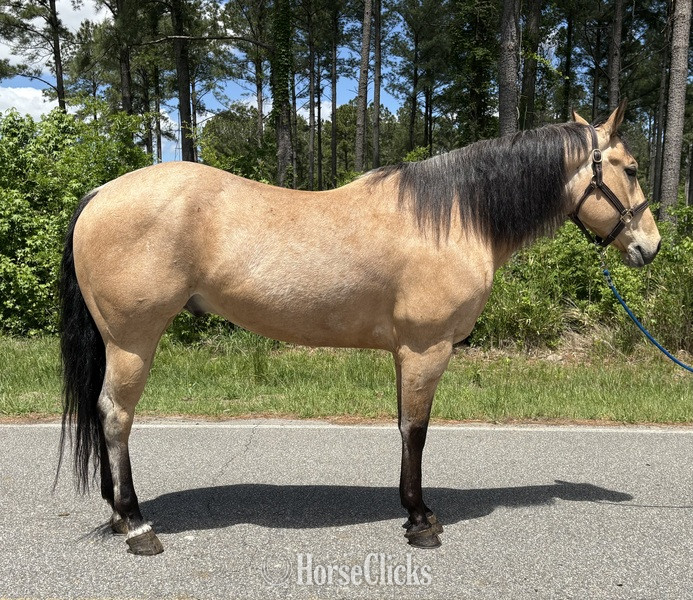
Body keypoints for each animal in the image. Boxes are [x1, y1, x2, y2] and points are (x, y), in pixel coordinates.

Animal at [57, 101, 661, 555]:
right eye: (631, 168)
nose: (650, 246)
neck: (453, 217)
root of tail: (101, 193)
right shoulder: (426, 348)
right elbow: (416, 431)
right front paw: (421, 520)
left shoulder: (406, 353)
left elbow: (402, 426)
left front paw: (410, 508)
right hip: (132, 342)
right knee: (116, 416)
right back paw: (136, 525)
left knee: (105, 413)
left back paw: (119, 515)